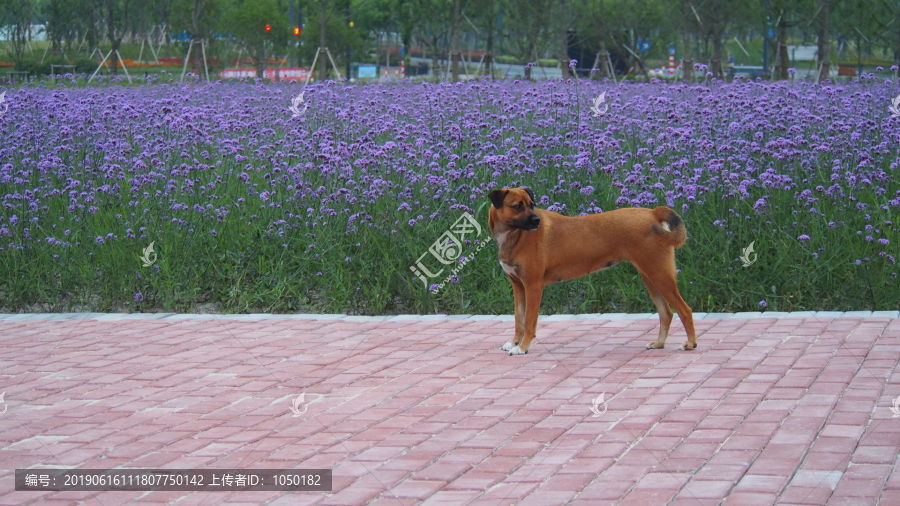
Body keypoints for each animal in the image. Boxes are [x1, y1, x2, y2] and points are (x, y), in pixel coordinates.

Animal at [492, 187, 696, 356]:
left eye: (532, 205)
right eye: (517, 206)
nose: (537, 221)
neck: (515, 236)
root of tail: (653, 213)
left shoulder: (533, 286)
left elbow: (529, 321)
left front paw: (522, 347)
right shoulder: (518, 286)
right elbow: (518, 318)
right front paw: (514, 343)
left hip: (659, 275)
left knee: (685, 310)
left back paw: (691, 344)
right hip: (650, 278)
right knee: (666, 313)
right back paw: (659, 343)